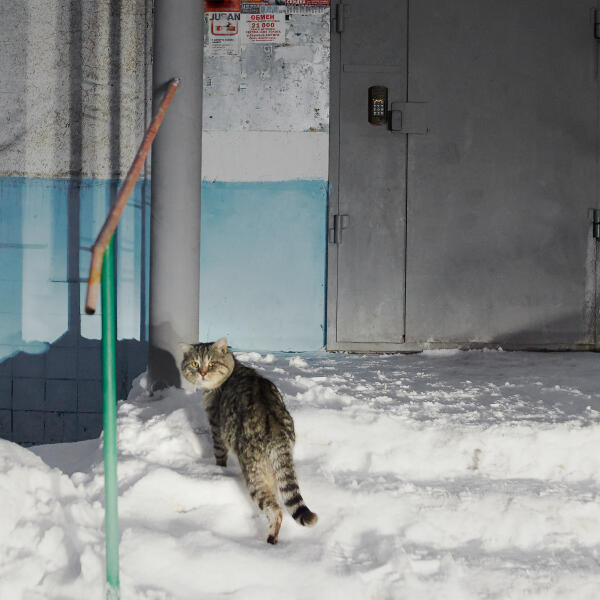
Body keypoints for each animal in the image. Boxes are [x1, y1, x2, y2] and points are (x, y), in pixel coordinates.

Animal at [179, 338, 316, 544]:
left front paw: (218, 470)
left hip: (254, 474)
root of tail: (276, 428)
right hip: (271, 469)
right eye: (195, 364)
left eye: (211, 363)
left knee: (275, 509)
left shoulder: (216, 426)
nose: (202, 373)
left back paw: (269, 540)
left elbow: (219, 455)